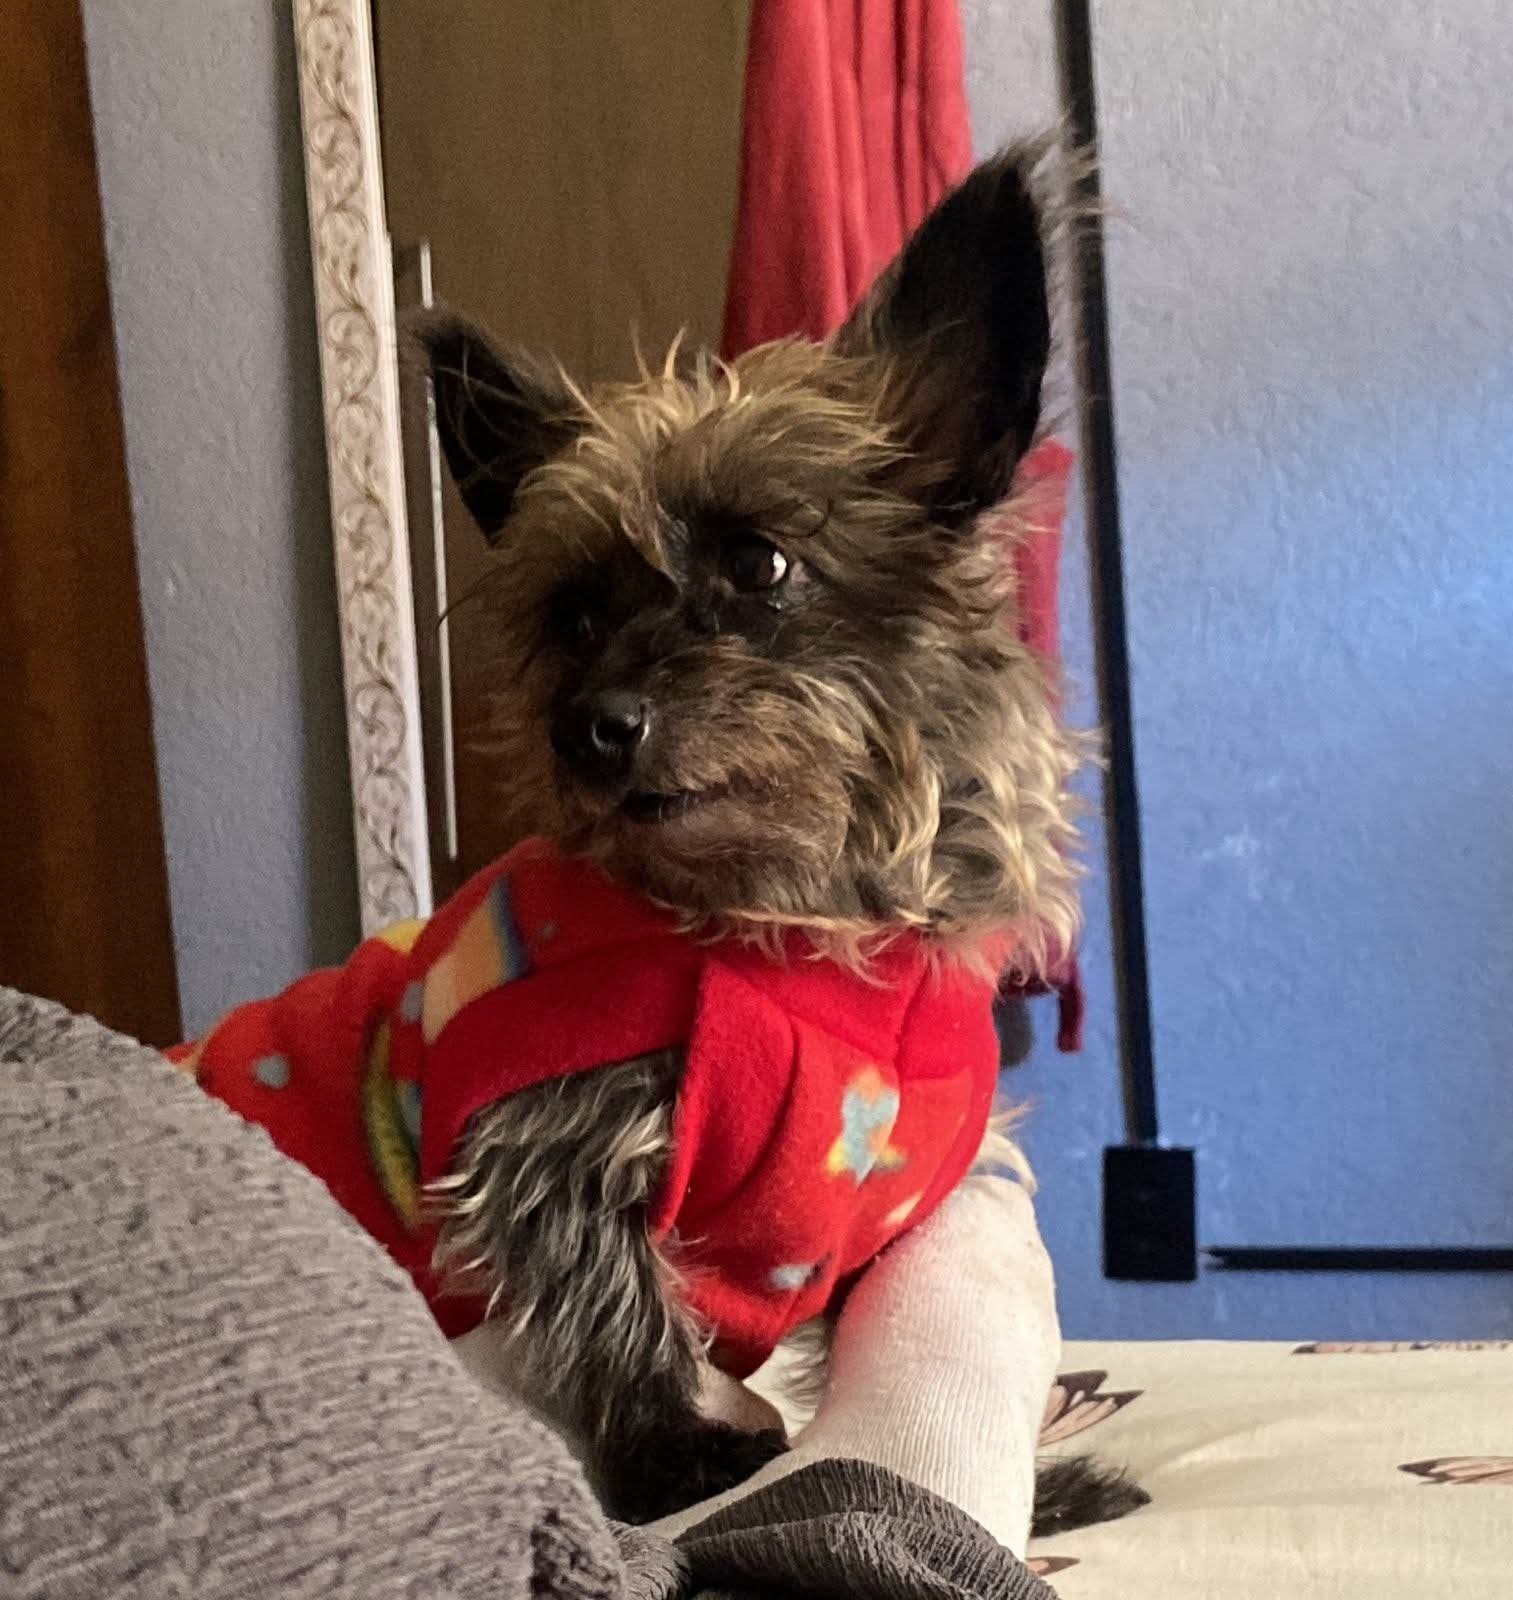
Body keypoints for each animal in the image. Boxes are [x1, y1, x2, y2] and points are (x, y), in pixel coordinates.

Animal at [176, 142, 1143, 1530]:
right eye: (573, 616)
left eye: (759, 562)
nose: (591, 727)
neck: (795, 935)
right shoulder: (543, 1140)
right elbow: (611, 1307)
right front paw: (678, 1464)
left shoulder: (898, 1216)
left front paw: (1031, 1493)